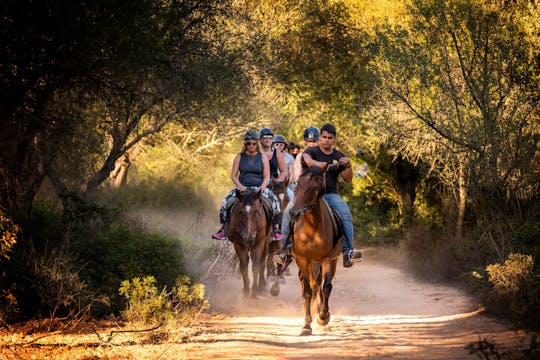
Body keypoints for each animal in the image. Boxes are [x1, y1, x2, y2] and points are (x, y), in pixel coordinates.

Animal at [274, 165, 342, 334]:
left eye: (315, 188)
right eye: (298, 185)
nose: (294, 213)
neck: (312, 227)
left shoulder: (326, 259)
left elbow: (326, 287)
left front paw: (323, 317)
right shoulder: (302, 260)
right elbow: (307, 290)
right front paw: (306, 325)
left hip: (330, 261)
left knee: (319, 285)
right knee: (311, 286)